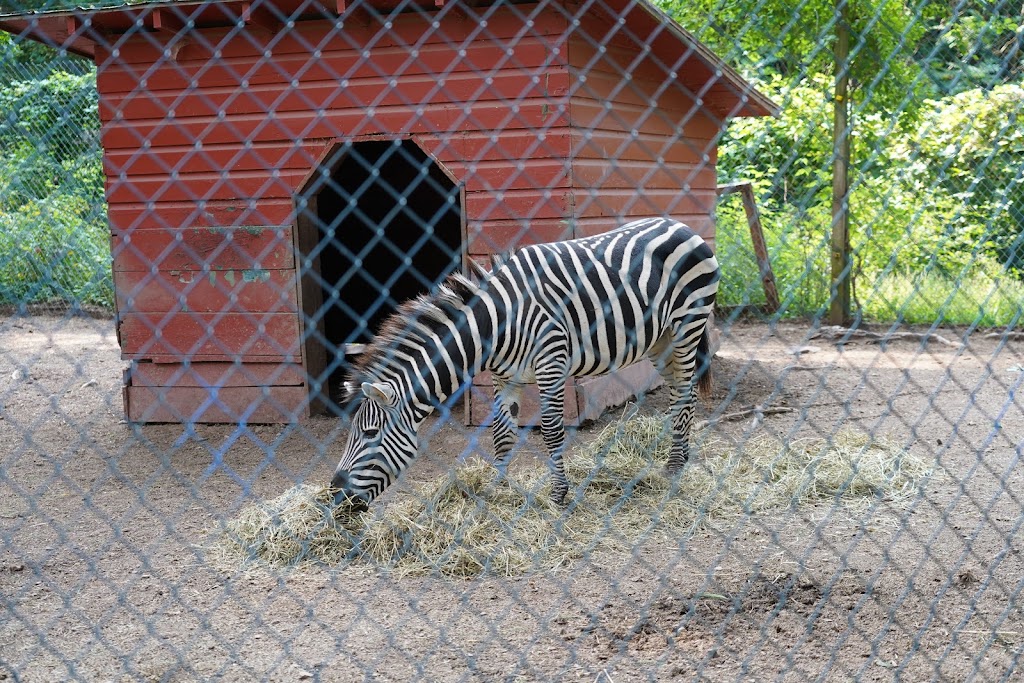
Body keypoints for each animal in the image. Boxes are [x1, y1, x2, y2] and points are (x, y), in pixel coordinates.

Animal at [331, 216, 716, 509]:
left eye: (369, 433)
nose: (335, 493)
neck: (493, 326)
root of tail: (679, 224)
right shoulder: (505, 378)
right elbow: (502, 433)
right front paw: (496, 489)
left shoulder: (551, 363)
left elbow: (551, 430)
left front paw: (559, 494)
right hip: (661, 340)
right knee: (681, 392)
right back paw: (679, 459)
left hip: (686, 326)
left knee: (684, 391)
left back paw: (673, 466)